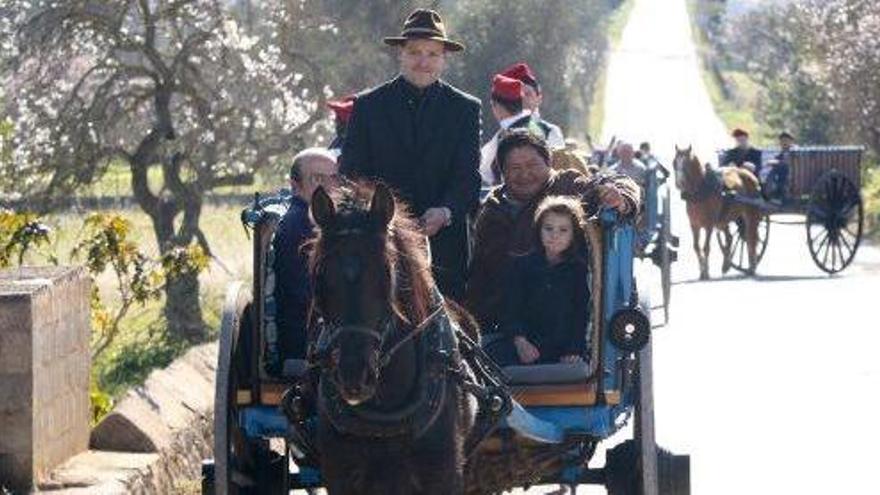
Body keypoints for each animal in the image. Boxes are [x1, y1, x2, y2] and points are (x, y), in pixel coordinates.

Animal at [672, 146, 764, 280]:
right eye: (674, 163)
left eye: (687, 164)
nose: (679, 183)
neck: (701, 190)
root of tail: (750, 174)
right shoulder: (694, 225)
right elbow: (696, 247)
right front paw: (702, 270)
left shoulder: (709, 225)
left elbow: (706, 247)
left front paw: (706, 271)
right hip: (725, 218)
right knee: (731, 238)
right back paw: (727, 265)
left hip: (751, 215)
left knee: (751, 238)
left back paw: (752, 266)